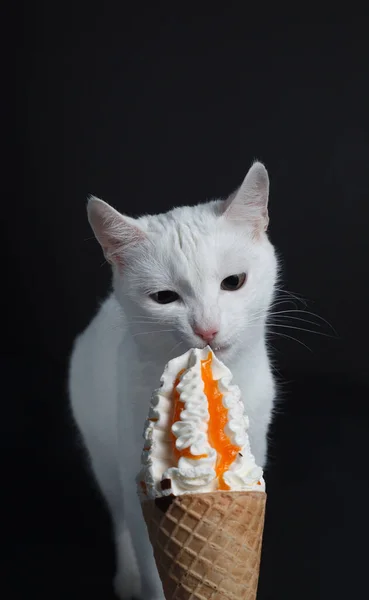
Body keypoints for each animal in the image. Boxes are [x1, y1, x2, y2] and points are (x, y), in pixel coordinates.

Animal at [68, 162, 276, 596]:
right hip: (103, 456)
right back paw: (127, 577)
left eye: (233, 282)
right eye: (165, 298)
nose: (207, 329)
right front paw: (148, 583)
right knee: (119, 521)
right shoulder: (136, 477)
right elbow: (150, 562)